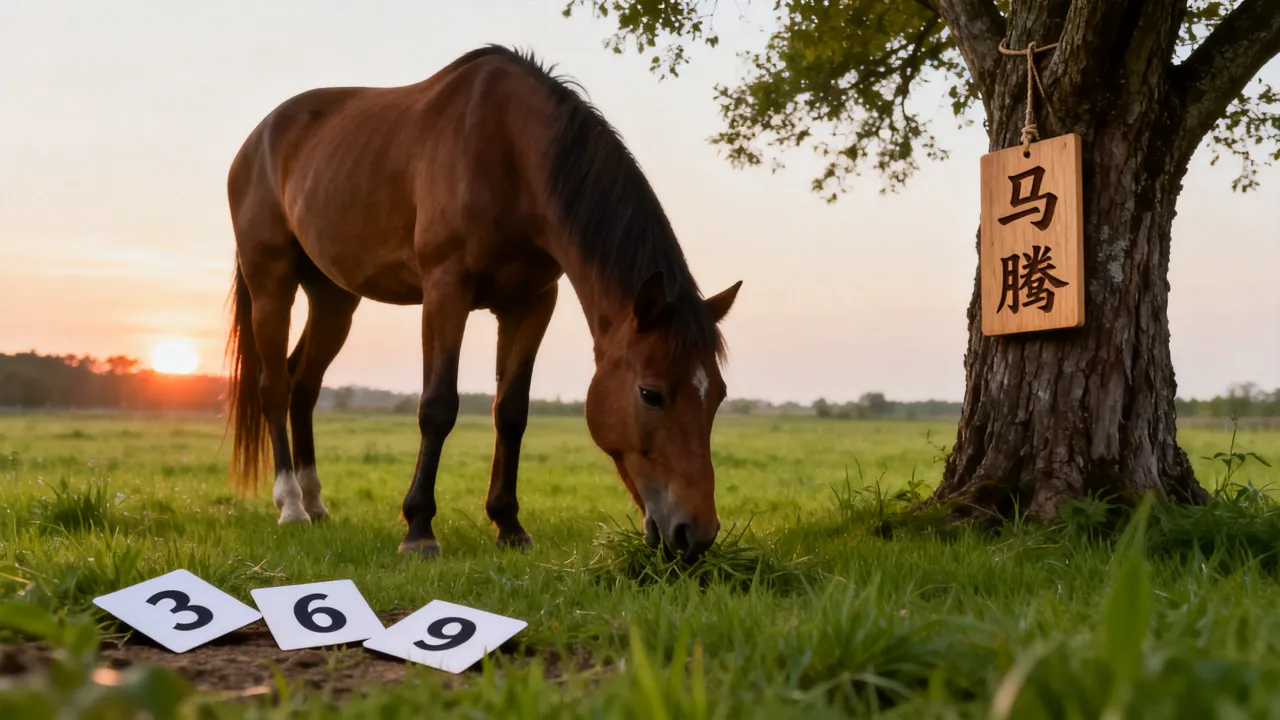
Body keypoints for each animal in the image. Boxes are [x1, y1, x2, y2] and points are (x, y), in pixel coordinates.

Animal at [223, 45, 741, 561]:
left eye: (718, 394)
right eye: (651, 394)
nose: (696, 534)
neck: (511, 153)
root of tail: (256, 141)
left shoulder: (532, 303)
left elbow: (511, 412)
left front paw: (509, 525)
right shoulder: (445, 290)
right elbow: (437, 407)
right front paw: (419, 529)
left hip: (334, 298)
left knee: (304, 385)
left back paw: (315, 502)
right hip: (271, 283)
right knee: (275, 387)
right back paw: (291, 505)